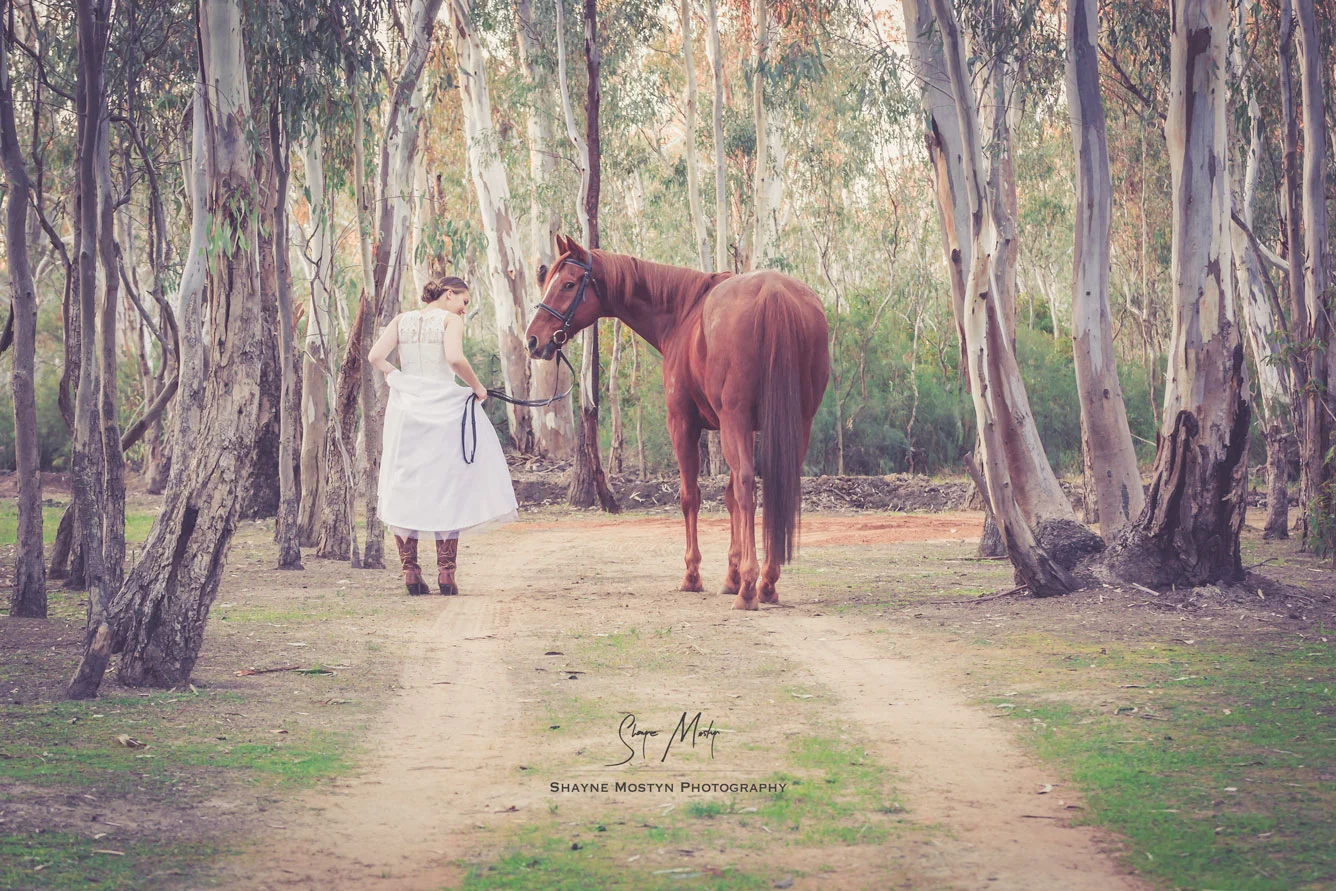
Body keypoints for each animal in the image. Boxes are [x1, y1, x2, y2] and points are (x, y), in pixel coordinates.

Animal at [526, 235, 830, 610]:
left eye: (568, 284)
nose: (533, 339)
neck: (684, 314)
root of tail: (773, 292)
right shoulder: (743, 429)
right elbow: (728, 497)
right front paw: (730, 575)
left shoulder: (685, 424)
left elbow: (692, 496)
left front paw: (694, 575)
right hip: (796, 423)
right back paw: (767, 582)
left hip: (736, 421)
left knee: (748, 486)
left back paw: (749, 588)